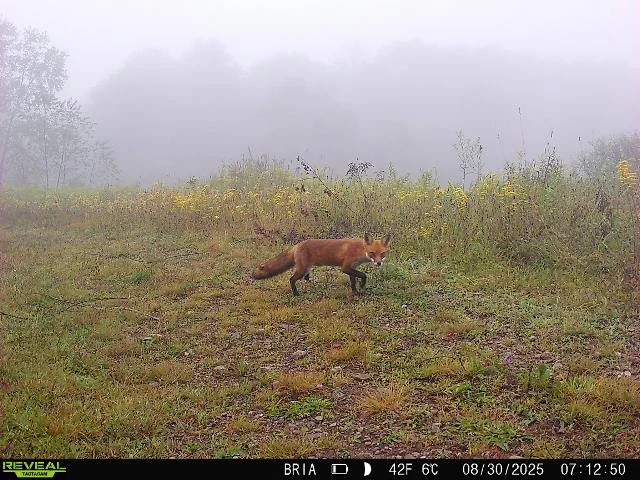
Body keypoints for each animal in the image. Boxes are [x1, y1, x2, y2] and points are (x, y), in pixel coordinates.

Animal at [252, 233, 391, 296]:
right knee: (291, 279)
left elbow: (353, 281)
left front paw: (356, 292)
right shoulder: (345, 267)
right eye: (372, 253)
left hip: (306, 268)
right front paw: (361, 285)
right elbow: (363, 275)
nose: (379, 263)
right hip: (302, 269)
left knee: (305, 277)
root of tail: (297, 245)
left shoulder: (352, 268)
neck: (359, 250)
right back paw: (296, 293)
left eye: (382, 253)